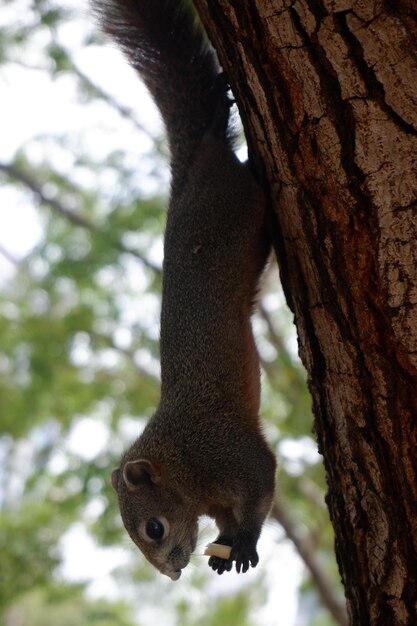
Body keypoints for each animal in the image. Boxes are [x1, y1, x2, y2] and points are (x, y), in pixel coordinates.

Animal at [93, 0, 276, 576]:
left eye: (154, 527)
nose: (173, 573)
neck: (182, 463)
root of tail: (191, 169)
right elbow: (231, 516)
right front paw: (227, 544)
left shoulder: (231, 451)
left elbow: (262, 484)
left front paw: (245, 543)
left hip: (235, 200)